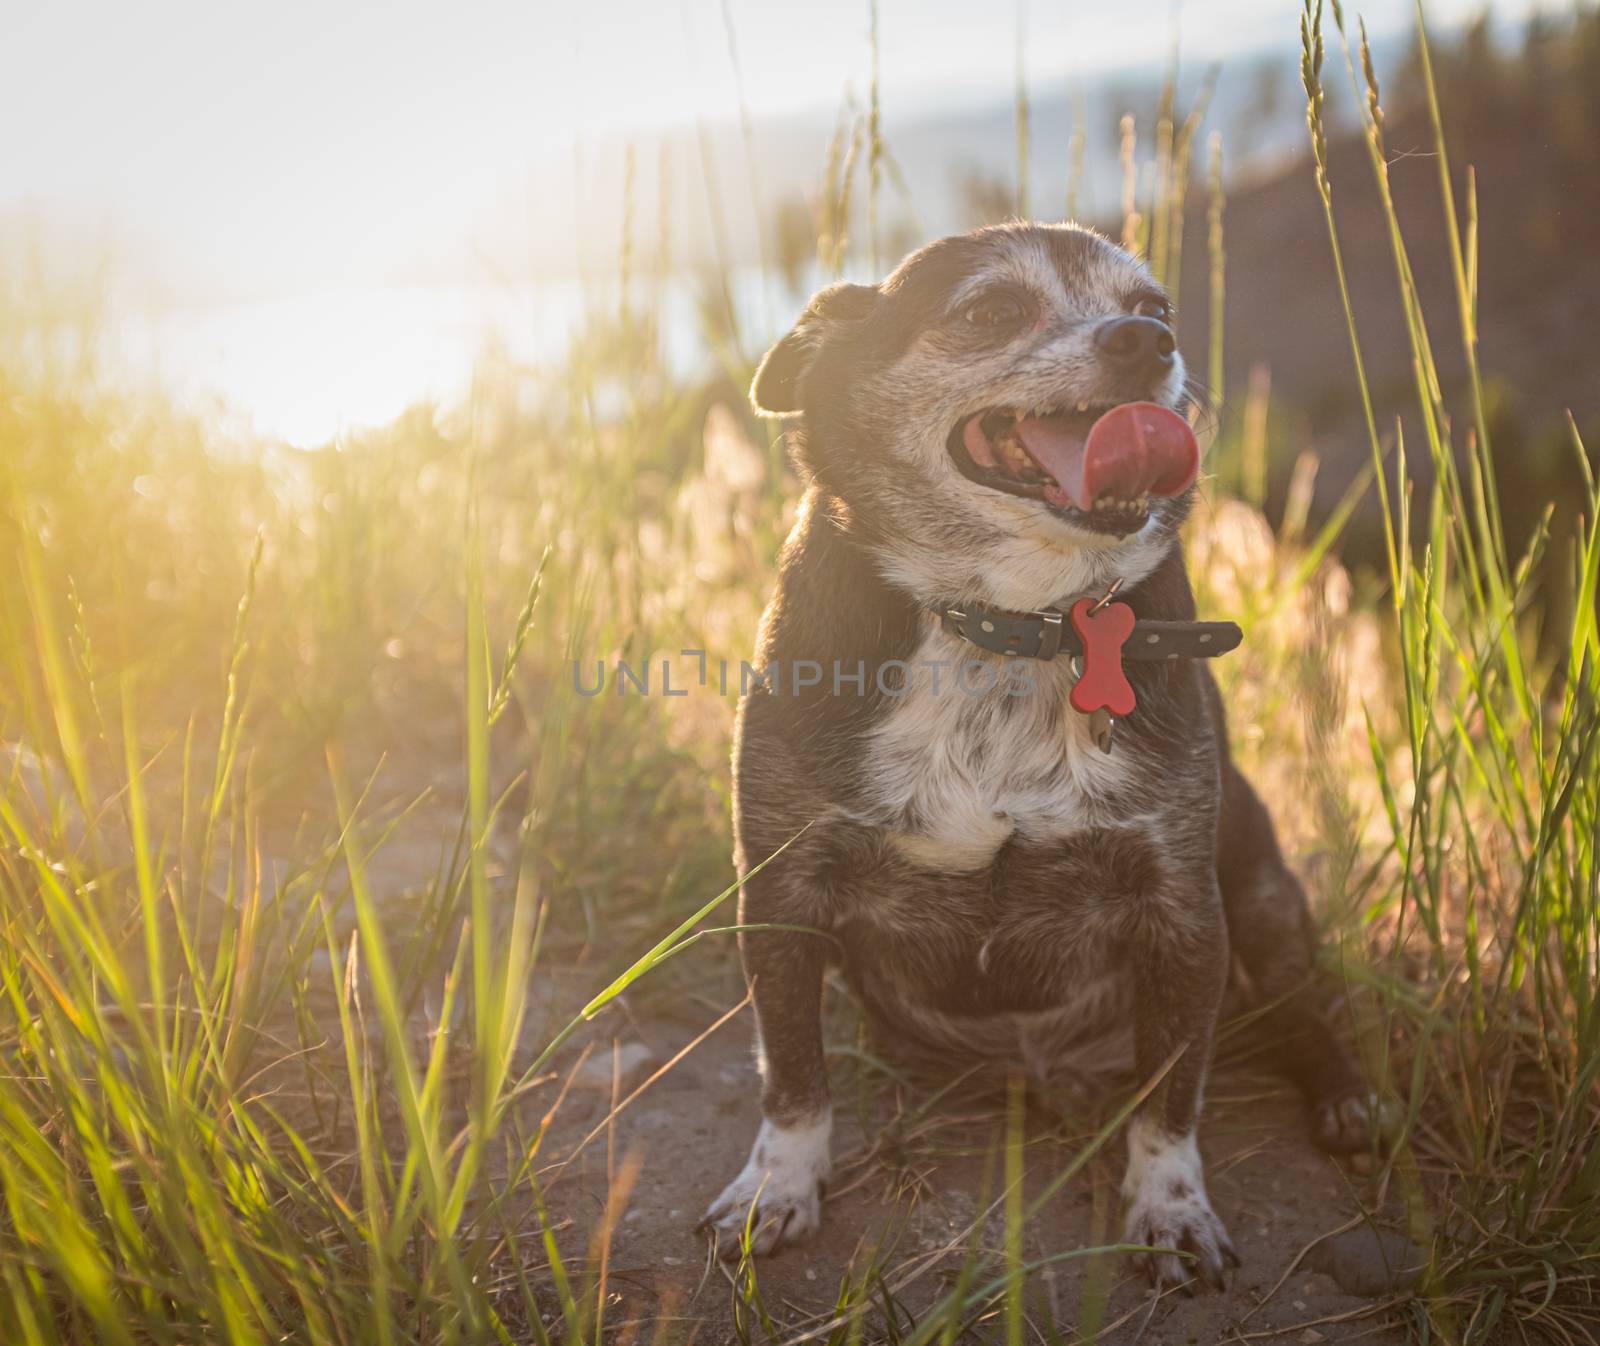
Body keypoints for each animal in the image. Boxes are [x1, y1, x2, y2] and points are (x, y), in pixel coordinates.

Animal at [700, 225, 1376, 1286]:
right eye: (990, 312)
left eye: (1158, 307)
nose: (1146, 342)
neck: (1013, 624)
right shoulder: (781, 896)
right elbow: (794, 1073)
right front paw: (779, 1187)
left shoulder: (1183, 913)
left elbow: (1171, 1095)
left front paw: (1171, 1207)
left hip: (1264, 893)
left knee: (1301, 1005)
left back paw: (1343, 1096)